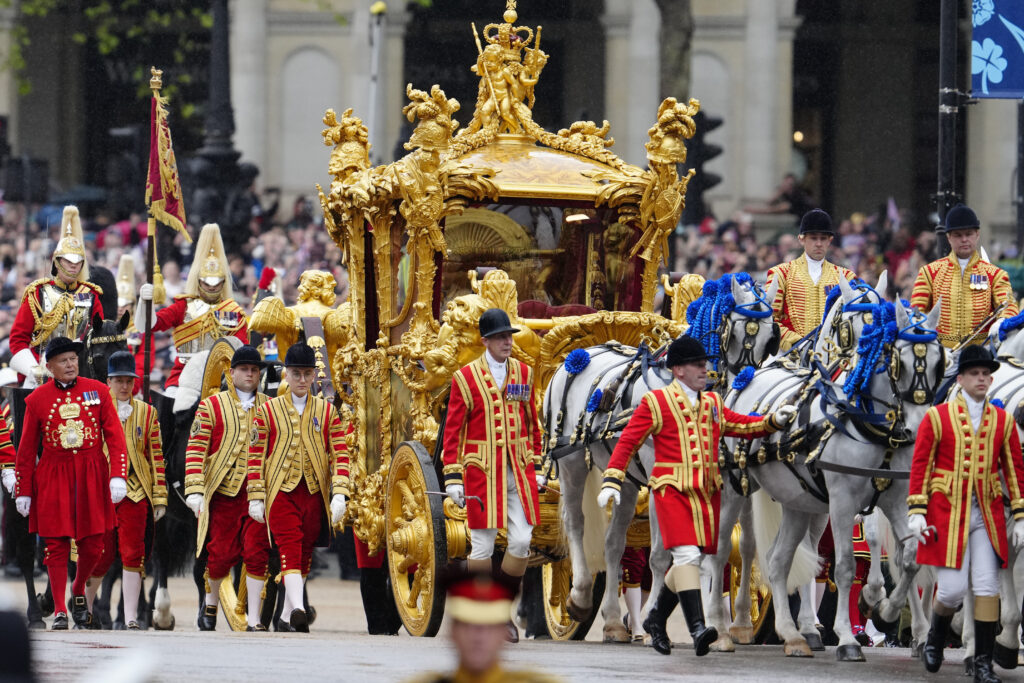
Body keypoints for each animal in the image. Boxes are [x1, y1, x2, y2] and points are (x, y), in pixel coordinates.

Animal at [548, 272, 778, 643]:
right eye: (738, 330)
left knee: (614, 543)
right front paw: (659, 620)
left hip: (626, 477)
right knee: (576, 523)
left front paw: (735, 622)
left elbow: (734, 546)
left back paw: (613, 621)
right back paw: (580, 596)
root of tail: (582, 353)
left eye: (772, 336)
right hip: (570, 462)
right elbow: (663, 553)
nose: (747, 383)